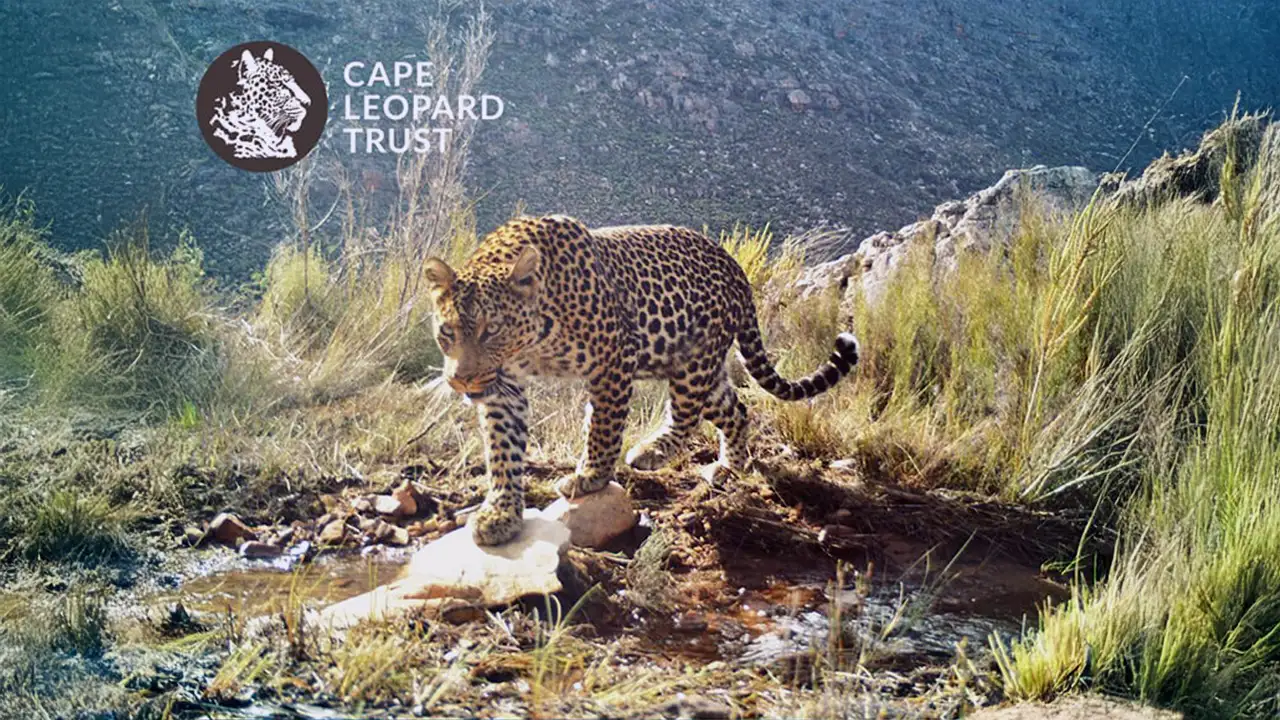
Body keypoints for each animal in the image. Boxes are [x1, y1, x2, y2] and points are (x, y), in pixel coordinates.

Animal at [424, 215, 860, 546]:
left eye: (491, 330)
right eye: (447, 333)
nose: (462, 380)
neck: (532, 342)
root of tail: (736, 268)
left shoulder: (614, 359)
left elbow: (603, 426)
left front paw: (590, 476)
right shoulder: (504, 389)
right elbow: (503, 451)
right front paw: (500, 515)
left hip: (692, 362)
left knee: (687, 415)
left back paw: (652, 450)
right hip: (700, 368)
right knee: (736, 408)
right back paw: (728, 467)